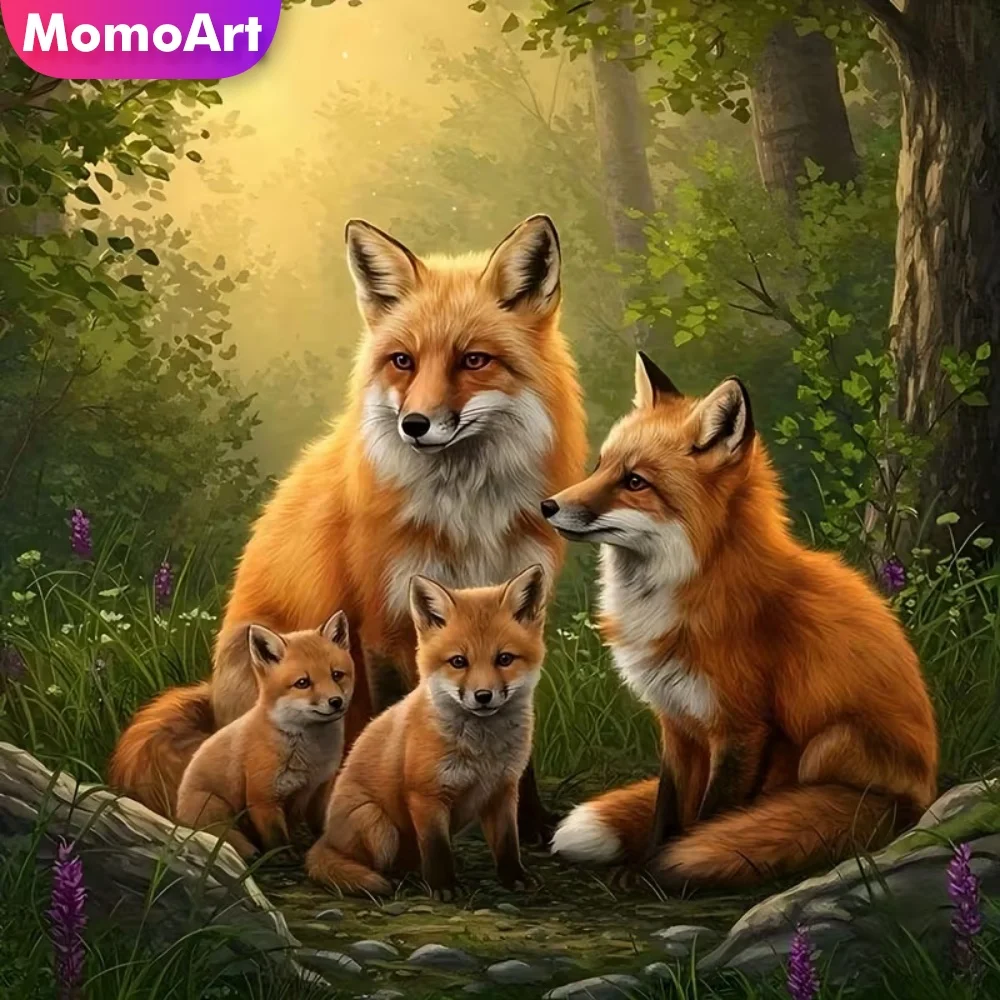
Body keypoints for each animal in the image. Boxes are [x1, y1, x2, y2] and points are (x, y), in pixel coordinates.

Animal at [175, 612, 354, 858]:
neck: (310, 758)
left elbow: (321, 826)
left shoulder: (318, 788)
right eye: (303, 683)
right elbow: (278, 843)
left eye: (336, 675)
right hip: (215, 808)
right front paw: (286, 860)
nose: (336, 702)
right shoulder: (263, 799)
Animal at [306, 565, 547, 898]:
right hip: (378, 825)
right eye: (459, 661)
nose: (483, 696)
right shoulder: (426, 795)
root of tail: (325, 837)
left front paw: (515, 878)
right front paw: (444, 886)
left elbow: (507, 844)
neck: (482, 752)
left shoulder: (503, 791)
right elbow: (436, 848)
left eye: (504, 659)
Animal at [542, 352, 938, 888]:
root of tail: (919, 799)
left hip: (830, 743)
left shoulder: (740, 728)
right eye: (601, 466)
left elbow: (711, 817)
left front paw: (665, 871)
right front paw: (646, 863)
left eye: (635, 482)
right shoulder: (677, 722)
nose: (548, 505)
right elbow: (669, 810)